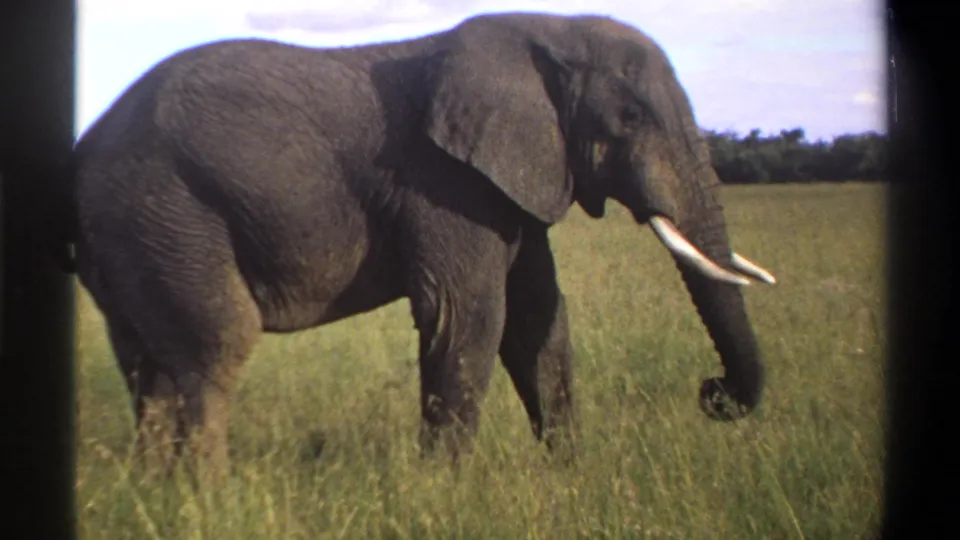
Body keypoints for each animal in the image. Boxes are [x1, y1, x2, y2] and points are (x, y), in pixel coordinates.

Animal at [60, 11, 777, 476]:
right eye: (630, 118)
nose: (713, 392)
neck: (548, 30)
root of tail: (84, 148)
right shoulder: (443, 182)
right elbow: (470, 317)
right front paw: (445, 493)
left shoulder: (507, 182)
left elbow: (539, 322)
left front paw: (573, 477)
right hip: (166, 207)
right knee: (214, 346)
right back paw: (212, 501)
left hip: (137, 231)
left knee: (148, 367)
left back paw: (157, 495)